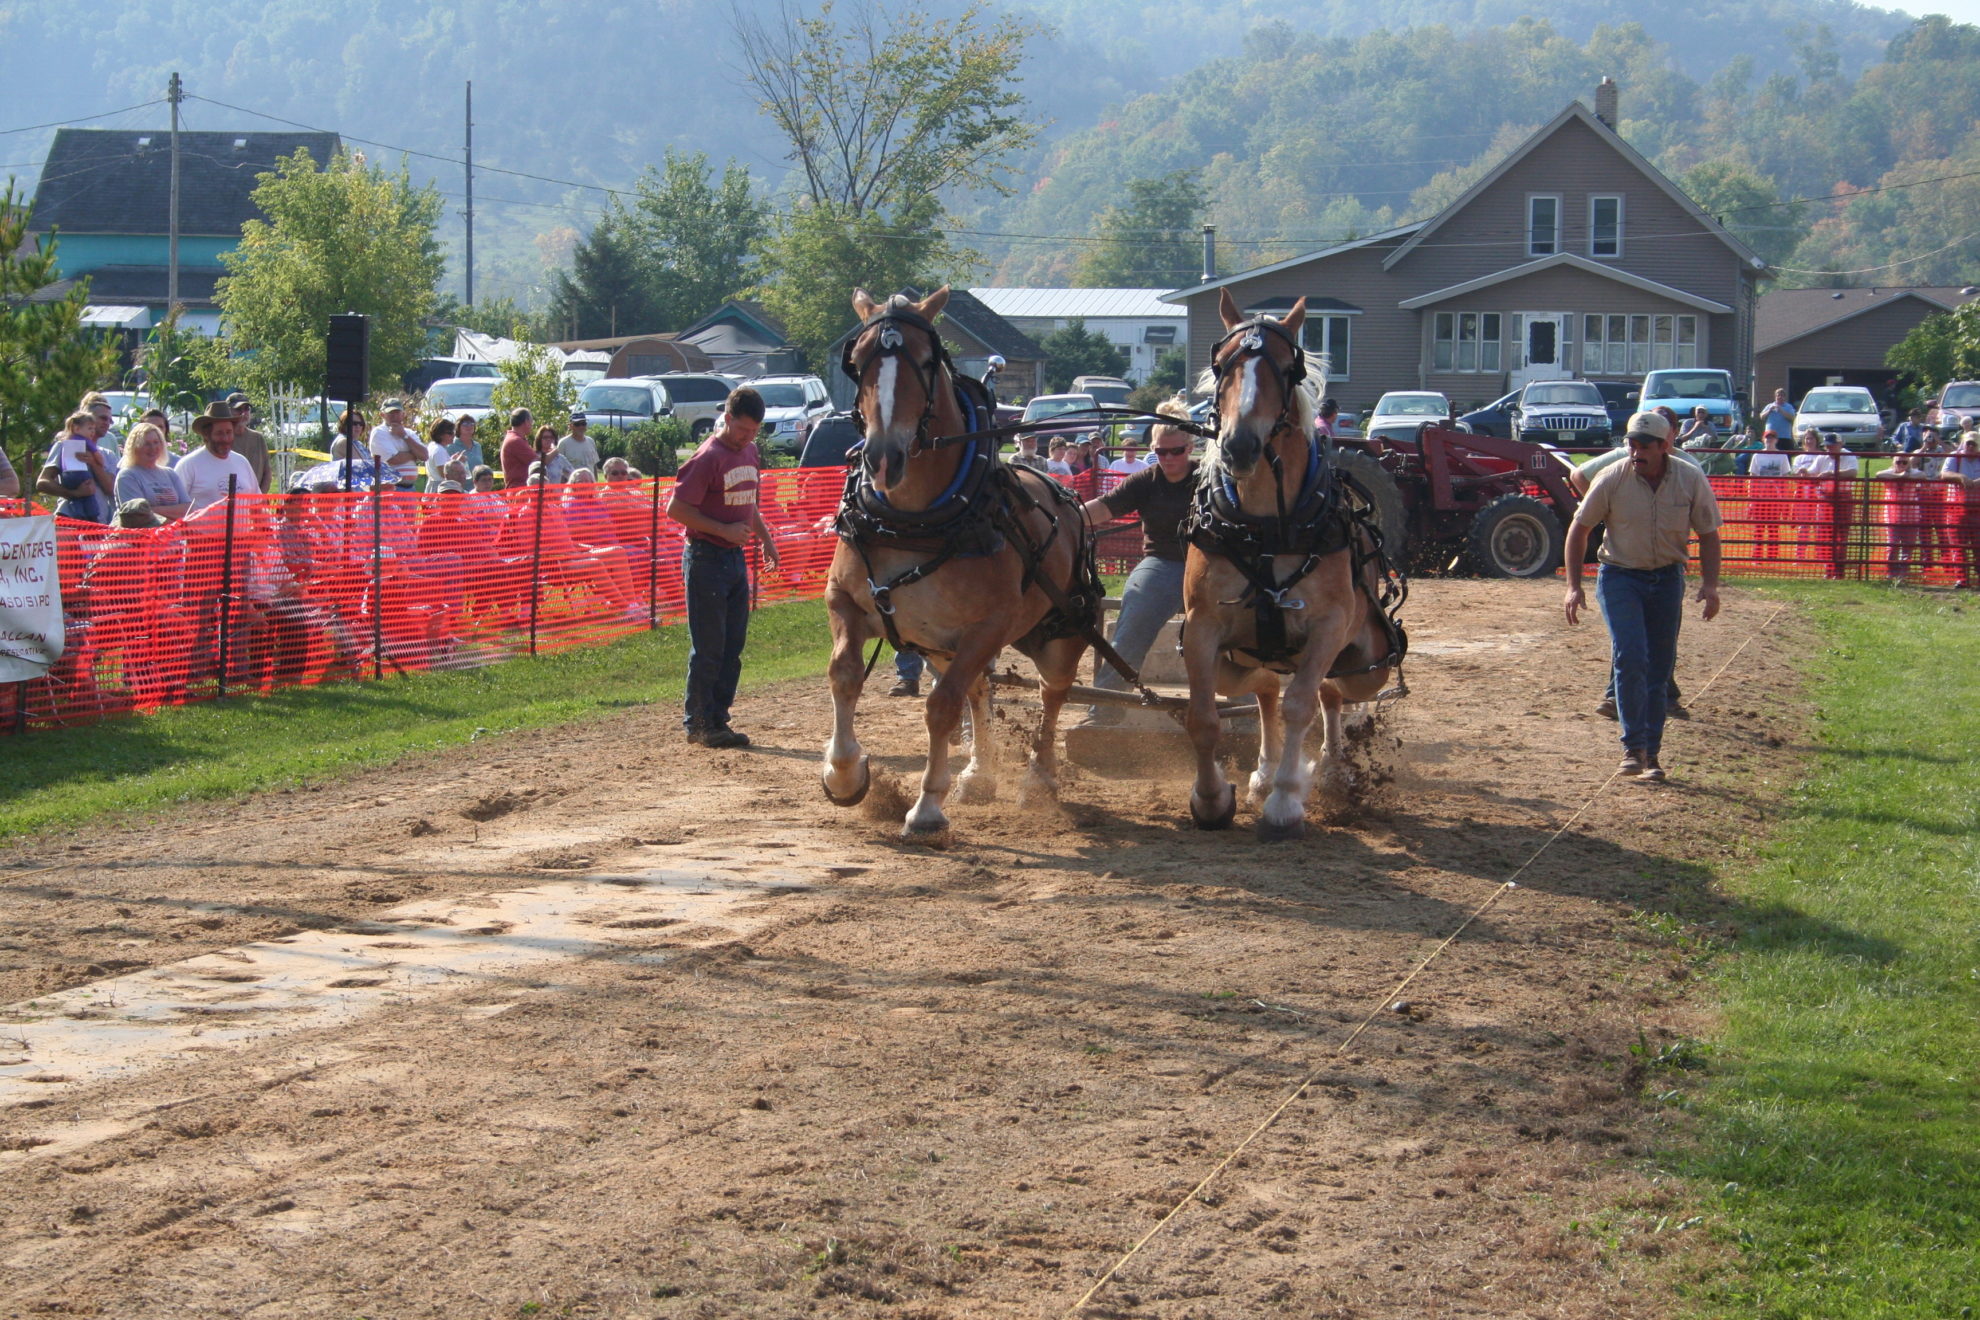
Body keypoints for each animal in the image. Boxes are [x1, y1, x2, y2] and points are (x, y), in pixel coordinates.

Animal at [821, 287, 1100, 838]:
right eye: (857, 362)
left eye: (927, 361)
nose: (883, 458)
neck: (912, 519)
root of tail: (1064, 492)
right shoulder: (846, 602)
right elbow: (844, 673)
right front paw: (843, 775)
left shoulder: (987, 627)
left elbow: (941, 707)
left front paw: (928, 806)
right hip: (941, 645)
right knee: (979, 689)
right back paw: (978, 774)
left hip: (1058, 632)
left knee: (1050, 693)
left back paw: (1038, 779)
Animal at [1179, 289, 1407, 840]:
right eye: (1221, 365)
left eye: (1286, 368)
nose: (1240, 445)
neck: (1266, 525)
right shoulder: (1202, 627)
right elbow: (1204, 718)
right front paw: (1213, 798)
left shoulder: (1328, 626)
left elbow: (1302, 703)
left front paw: (1285, 802)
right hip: (1239, 660)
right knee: (1264, 688)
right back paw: (1264, 772)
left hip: (1366, 662)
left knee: (1331, 693)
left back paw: (1330, 770)